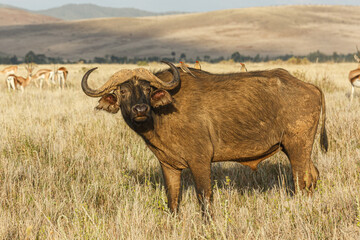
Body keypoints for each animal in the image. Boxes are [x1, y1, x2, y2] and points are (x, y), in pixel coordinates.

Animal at [82, 62, 330, 214]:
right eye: (122, 91)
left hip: (297, 149)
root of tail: (310, 87)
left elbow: (204, 197)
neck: (161, 115)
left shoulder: (200, 161)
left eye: (147, 89)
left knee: (301, 181)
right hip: (295, 149)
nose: (140, 109)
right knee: (313, 176)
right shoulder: (168, 164)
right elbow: (173, 199)